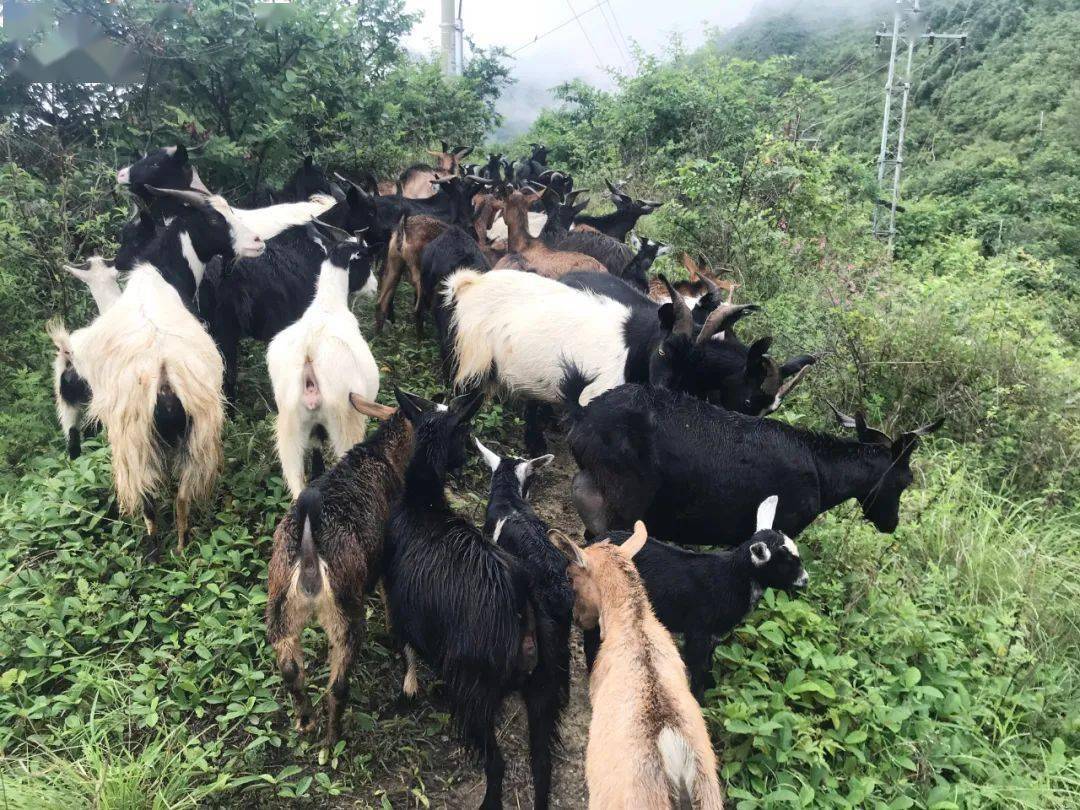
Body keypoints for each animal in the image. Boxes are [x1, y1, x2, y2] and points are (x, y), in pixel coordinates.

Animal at [264, 397, 412, 747]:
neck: (379, 453)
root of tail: (308, 550)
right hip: (345, 615)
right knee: (338, 685)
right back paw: (333, 738)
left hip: (281, 607)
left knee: (290, 668)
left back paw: (306, 721)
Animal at [384, 390, 557, 807]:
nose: (463, 460)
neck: (424, 503)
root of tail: (522, 609)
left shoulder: (400, 607)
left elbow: (407, 651)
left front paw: (407, 691)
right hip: (543, 691)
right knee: (542, 765)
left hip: (474, 690)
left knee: (496, 763)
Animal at [561, 373, 941, 546]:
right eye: (905, 480)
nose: (891, 524)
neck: (826, 477)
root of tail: (580, 420)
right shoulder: (779, 528)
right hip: (624, 507)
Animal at [587, 494, 807, 699]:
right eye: (785, 562)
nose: (805, 580)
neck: (732, 578)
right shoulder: (698, 630)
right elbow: (697, 666)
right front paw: (699, 699)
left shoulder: (714, 633)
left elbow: (708, 662)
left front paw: (711, 686)